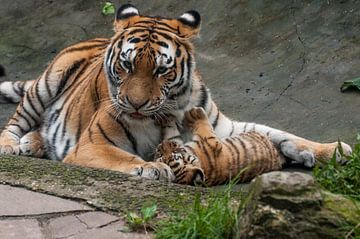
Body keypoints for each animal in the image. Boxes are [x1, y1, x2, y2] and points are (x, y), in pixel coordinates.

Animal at [0, 4, 352, 181]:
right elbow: (122, 156)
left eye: (161, 70)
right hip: (49, 81)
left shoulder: (227, 129)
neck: (175, 105)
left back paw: (33, 143)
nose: (135, 104)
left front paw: (333, 150)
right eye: (126, 65)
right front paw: (154, 167)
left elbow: (280, 133)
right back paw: (12, 145)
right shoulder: (92, 144)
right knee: (16, 121)